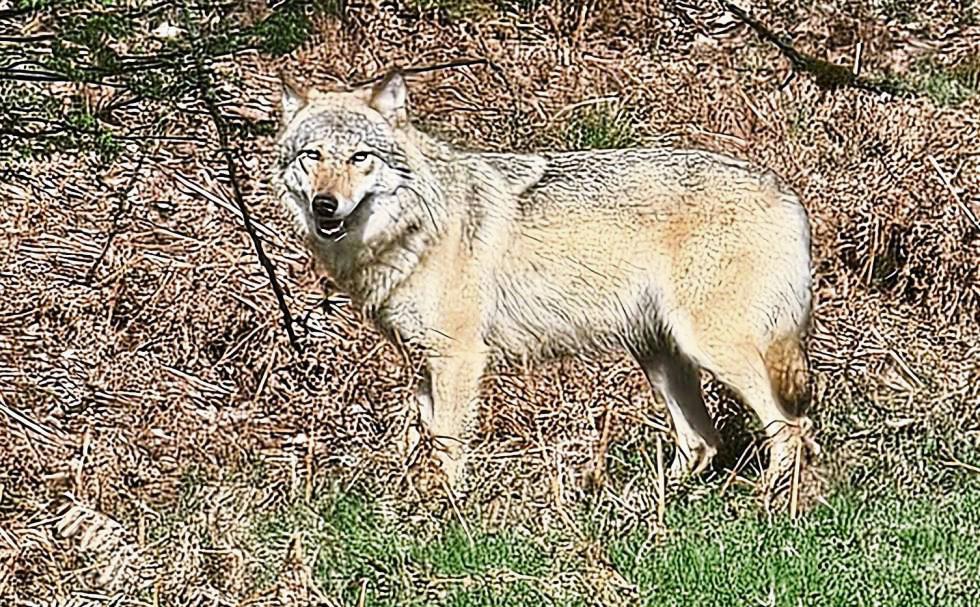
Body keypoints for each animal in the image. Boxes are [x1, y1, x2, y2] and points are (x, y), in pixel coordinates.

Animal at [276, 71, 820, 494]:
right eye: (312, 156)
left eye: (360, 157)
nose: (325, 205)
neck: (412, 228)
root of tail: (785, 191)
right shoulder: (425, 360)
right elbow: (419, 436)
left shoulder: (459, 355)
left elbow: (449, 443)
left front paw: (450, 513)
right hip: (661, 355)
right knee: (703, 442)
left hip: (713, 348)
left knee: (791, 427)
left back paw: (765, 502)